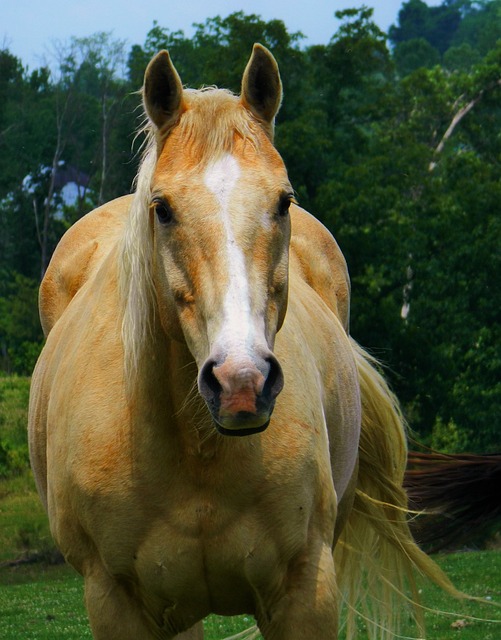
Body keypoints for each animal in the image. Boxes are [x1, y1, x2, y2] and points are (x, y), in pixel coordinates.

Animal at [27, 45, 458, 640]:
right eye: (162, 208)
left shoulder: (306, 591)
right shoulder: (115, 602)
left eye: (284, 201)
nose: (240, 382)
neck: (195, 448)